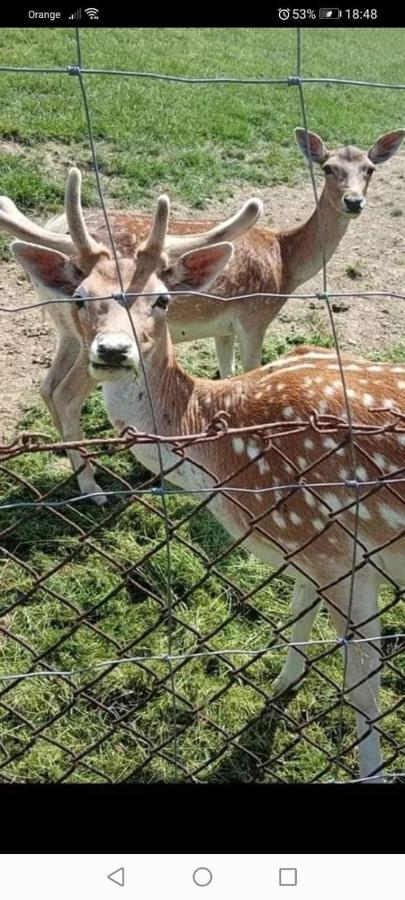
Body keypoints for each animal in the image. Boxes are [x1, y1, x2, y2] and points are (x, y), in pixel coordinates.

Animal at [9, 190, 404, 780]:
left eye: (162, 299)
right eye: (81, 298)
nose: (113, 351)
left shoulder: (335, 546)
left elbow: (363, 684)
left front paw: (370, 770)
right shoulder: (307, 548)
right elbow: (298, 617)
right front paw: (280, 687)